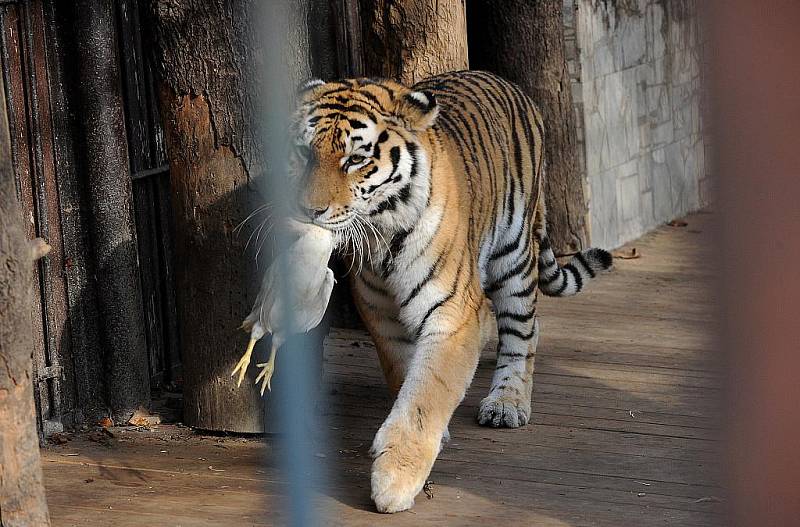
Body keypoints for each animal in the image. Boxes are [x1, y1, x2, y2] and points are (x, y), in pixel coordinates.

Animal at [290, 71, 608, 516]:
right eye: (304, 153)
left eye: (355, 159)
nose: (309, 211)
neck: (383, 233)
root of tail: (505, 81)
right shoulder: (379, 312)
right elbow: (406, 374)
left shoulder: (453, 313)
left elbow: (427, 394)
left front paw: (394, 480)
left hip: (514, 256)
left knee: (524, 331)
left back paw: (507, 403)